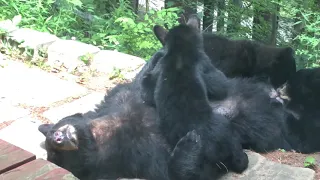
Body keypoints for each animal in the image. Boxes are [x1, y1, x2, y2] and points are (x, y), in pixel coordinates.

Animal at [142, 15, 250, 180]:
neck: (179, 51)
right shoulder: (207, 66)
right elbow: (221, 84)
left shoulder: (154, 77)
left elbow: (146, 88)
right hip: (228, 131)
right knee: (240, 161)